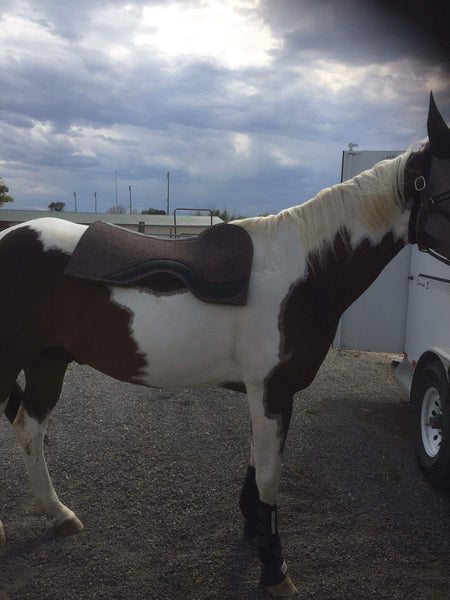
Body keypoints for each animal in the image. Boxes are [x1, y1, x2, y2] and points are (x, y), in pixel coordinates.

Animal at [0, 92, 450, 596]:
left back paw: (59, 514)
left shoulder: (267, 394)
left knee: (28, 429)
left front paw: (254, 533)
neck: (306, 269)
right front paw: (274, 569)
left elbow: (257, 467)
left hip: (47, 362)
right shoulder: (272, 392)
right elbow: (270, 478)